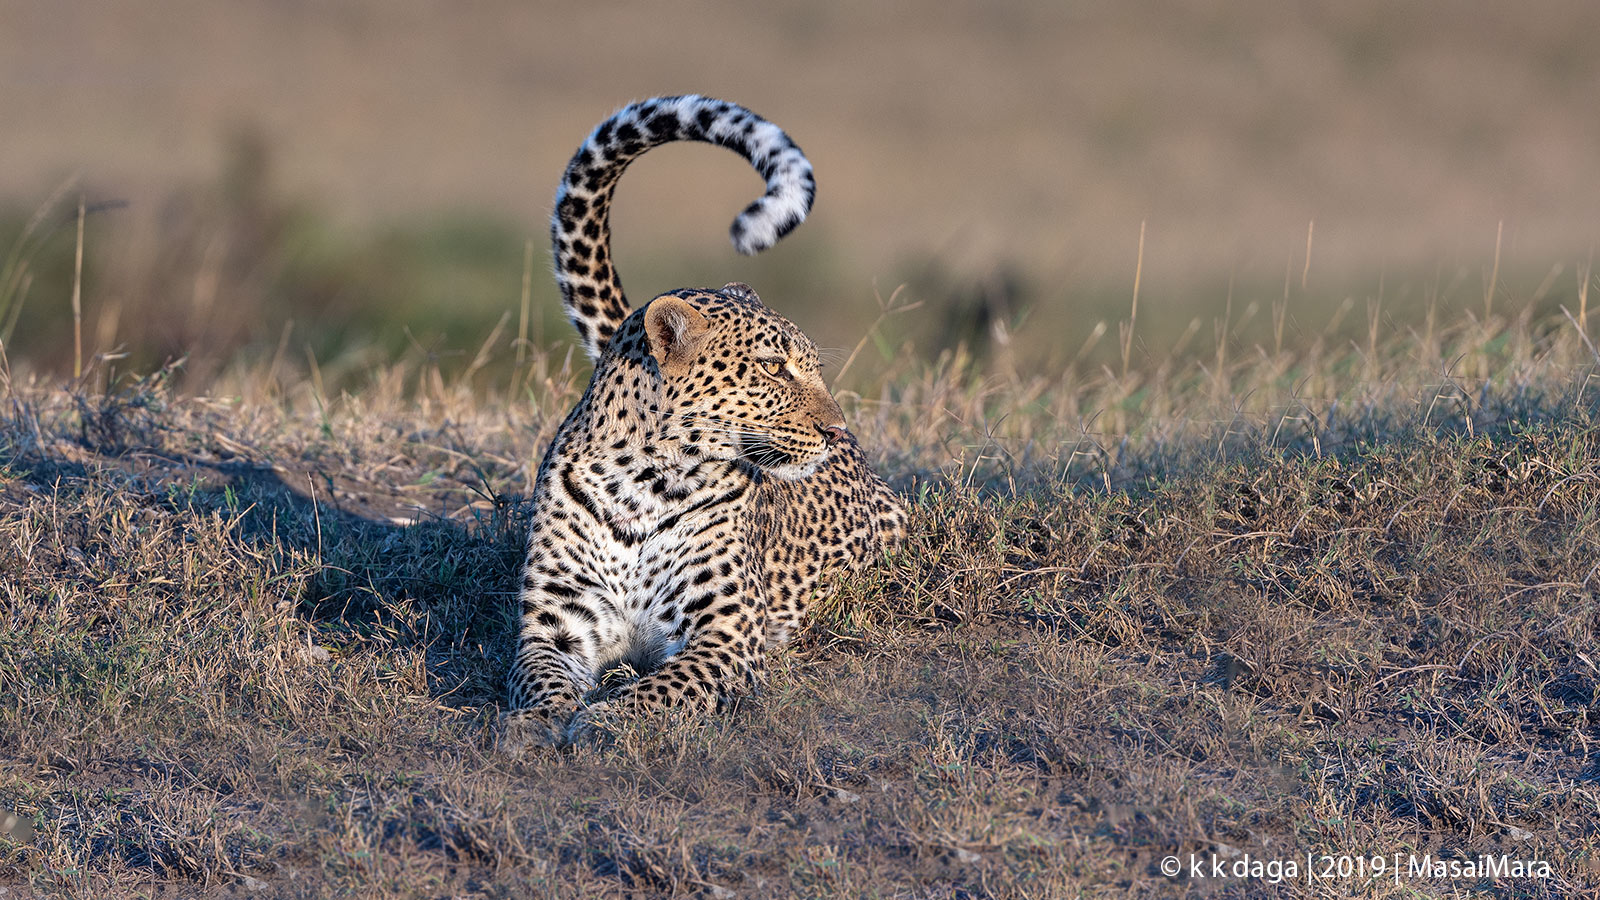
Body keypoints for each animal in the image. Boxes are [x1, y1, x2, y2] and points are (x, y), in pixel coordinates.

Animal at [492, 92, 908, 749]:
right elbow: (539, 678)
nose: (838, 430)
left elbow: (661, 687)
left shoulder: (724, 635)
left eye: (813, 368)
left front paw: (608, 719)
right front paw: (535, 723)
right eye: (773, 367)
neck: (641, 485)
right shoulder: (554, 625)